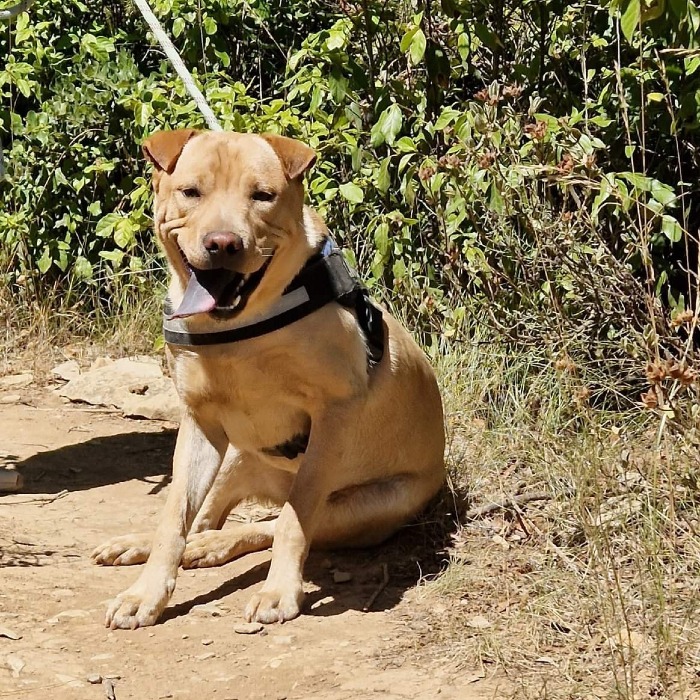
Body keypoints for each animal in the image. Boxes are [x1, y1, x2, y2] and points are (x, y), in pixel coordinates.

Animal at [91, 131, 442, 628]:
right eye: (191, 192)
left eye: (262, 196)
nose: (222, 244)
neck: (239, 329)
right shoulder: (200, 425)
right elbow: (173, 516)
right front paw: (146, 594)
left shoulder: (333, 417)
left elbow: (295, 521)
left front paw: (280, 592)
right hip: (233, 456)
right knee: (204, 518)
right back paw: (152, 544)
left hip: (368, 505)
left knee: (269, 525)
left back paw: (213, 547)